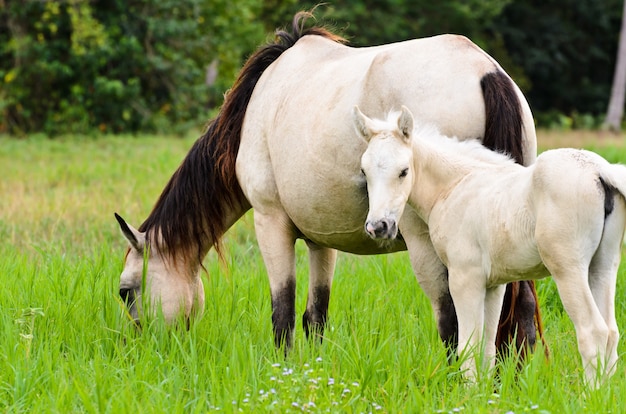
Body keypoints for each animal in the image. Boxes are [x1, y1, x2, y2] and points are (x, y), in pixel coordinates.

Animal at [116, 12, 540, 356]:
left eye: (125, 292)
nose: (139, 349)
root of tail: (483, 70)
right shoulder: (321, 238)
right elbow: (315, 315)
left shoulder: (270, 222)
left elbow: (283, 312)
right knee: (522, 313)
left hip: (428, 245)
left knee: (451, 322)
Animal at [354, 105, 624, 386]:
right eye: (364, 172)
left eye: (404, 171)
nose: (378, 226)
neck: (454, 186)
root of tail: (599, 171)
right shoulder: (494, 285)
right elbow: (487, 348)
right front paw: (482, 392)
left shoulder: (464, 278)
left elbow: (468, 346)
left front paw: (467, 392)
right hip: (602, 267)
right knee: (611, 332)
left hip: (568, 269)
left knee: (593, 330)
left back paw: (590, 392)